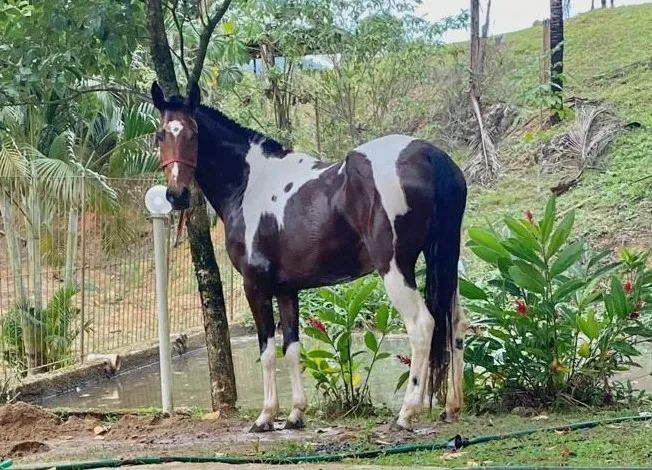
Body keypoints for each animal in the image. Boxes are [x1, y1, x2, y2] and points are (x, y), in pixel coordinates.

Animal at [151, 81, 467, 432]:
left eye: (192, 133)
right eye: (161, 134)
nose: (176, 195)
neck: (251, 183)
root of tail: (429, 154)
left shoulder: (255, 285)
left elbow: (267, 351)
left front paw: (266, 416)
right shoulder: (287, 290)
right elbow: (291, 349)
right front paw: (295, 414)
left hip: (396, 269)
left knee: (423, 325)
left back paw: (406, 414)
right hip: (447, 258)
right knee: (455, 324)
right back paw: (452, 406)